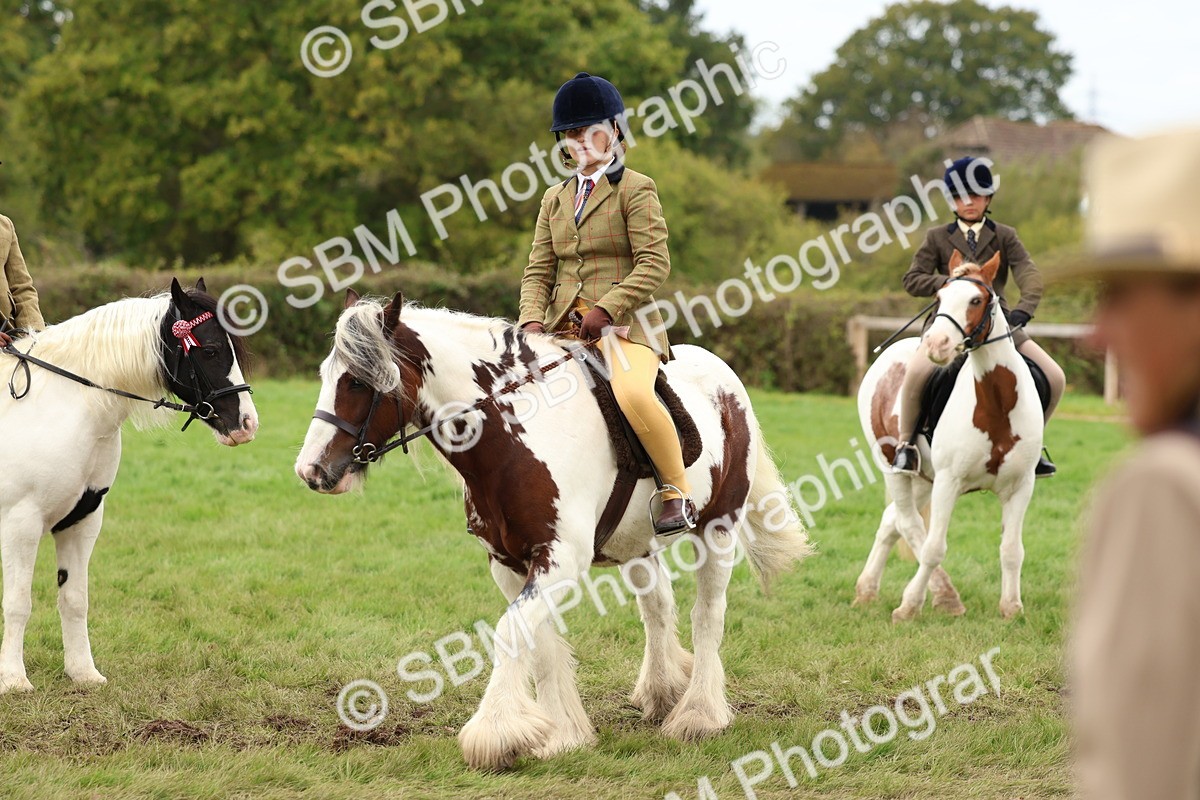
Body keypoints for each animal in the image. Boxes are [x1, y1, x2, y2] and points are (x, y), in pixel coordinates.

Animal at [0, 278, 258, 693]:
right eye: (212, 349)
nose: (247, 424)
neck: (62, 408)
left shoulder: (82, 519)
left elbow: (75, 599)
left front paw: (83, 673)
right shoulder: (20, 523)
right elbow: (18, 603)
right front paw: (13, 680)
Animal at [295, 289, 811, 770]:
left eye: (357, 382)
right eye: (325, 376)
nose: (311, 471)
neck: (515, 435)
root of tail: (724, 376)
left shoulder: (559, 560)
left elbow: (510, 632)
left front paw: (494, 734)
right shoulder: (508, 563)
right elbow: (536, 640)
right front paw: (562, 733)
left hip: (718, 528)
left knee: (708, 615)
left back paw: (699, 715)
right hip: (637, 543)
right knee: (658, 607)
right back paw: (662, 691)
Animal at [854, 251, 1042, 622]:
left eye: (976, 300)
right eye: (939, 297)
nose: (936, 344)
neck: (997, 403)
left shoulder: (1021, 485)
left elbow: (1012, 549)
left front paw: (1012, 608)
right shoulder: (948, 482)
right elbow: (933, 547)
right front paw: (909, 606)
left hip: (924, 479)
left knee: (891, 521)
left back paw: (866, 590)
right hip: (895, 468)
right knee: (909, 524)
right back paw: (944, 596)